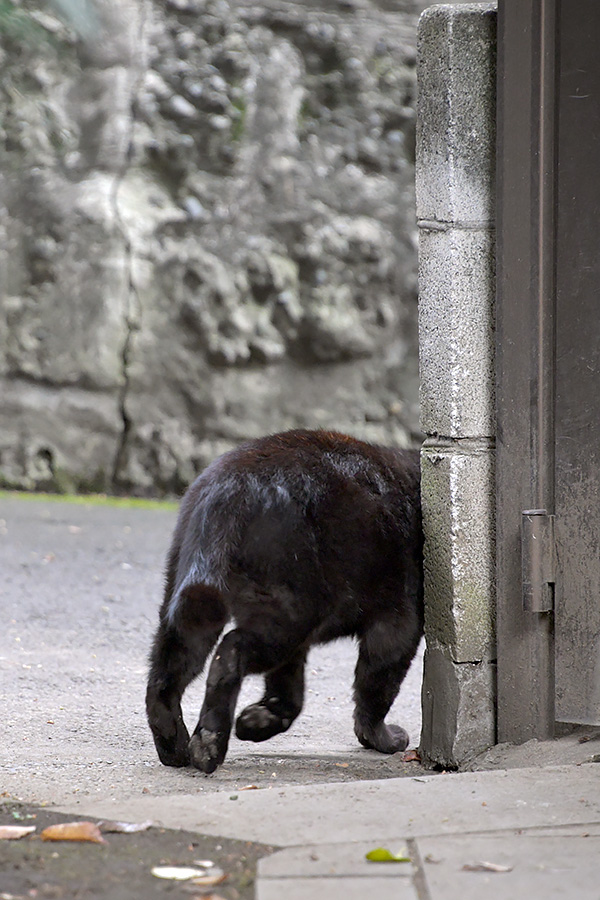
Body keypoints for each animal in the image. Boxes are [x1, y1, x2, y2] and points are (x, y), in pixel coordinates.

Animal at [145, 430, 422, 772]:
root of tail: (229, 488)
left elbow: (290, 691)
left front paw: (256, 721)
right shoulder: (399, 621)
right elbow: (377, 687)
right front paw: (381, 739)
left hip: (193, 589)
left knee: (166, 669)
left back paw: (176, 748)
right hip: (291, 609)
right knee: (230, 650)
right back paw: (208, 745)